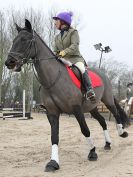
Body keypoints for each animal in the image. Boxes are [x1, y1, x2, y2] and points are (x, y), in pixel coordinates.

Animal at [5, 19, 130, 171]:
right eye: (14, 40)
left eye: (25, 40)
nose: (9, 62)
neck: (53, 79)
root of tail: (103, 73)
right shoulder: (52, 112)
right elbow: (54, 137)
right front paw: (53, 163)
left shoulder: (76, 109)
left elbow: (85, 130)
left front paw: (92, 152)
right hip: (92, 107)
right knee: (102, 121)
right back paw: (107, 143)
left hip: (107, 100)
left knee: (116, 113)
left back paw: (122, 132)